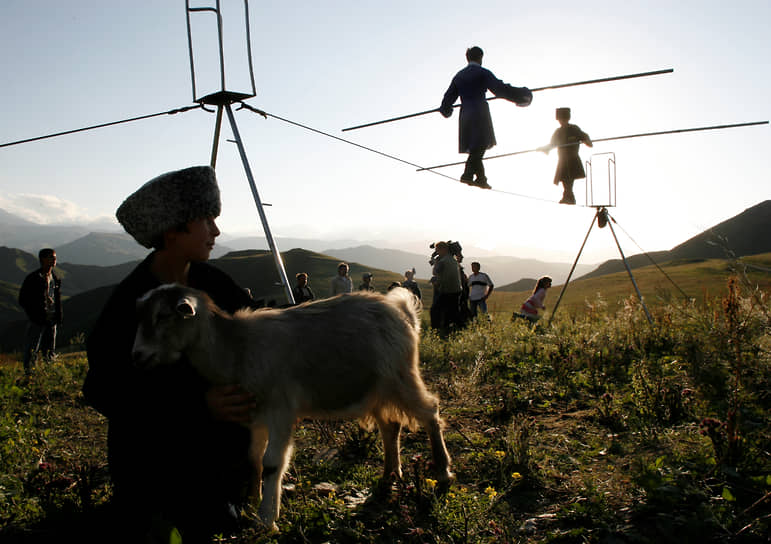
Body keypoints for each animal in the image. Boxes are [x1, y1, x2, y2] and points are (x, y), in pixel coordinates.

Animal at [132, 284, 452, 532]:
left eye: (163, 316)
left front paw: (266, 519)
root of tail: (401, 310)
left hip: (401, 377)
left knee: (430, 412)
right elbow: (254, 459)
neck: (236, 349)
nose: (138, 355)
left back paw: (442, 471)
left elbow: (273, 463)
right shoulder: (255, 417)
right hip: (376, 389)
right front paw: (252, 501)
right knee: (391, 426)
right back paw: (389, 475)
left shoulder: (280, 411)